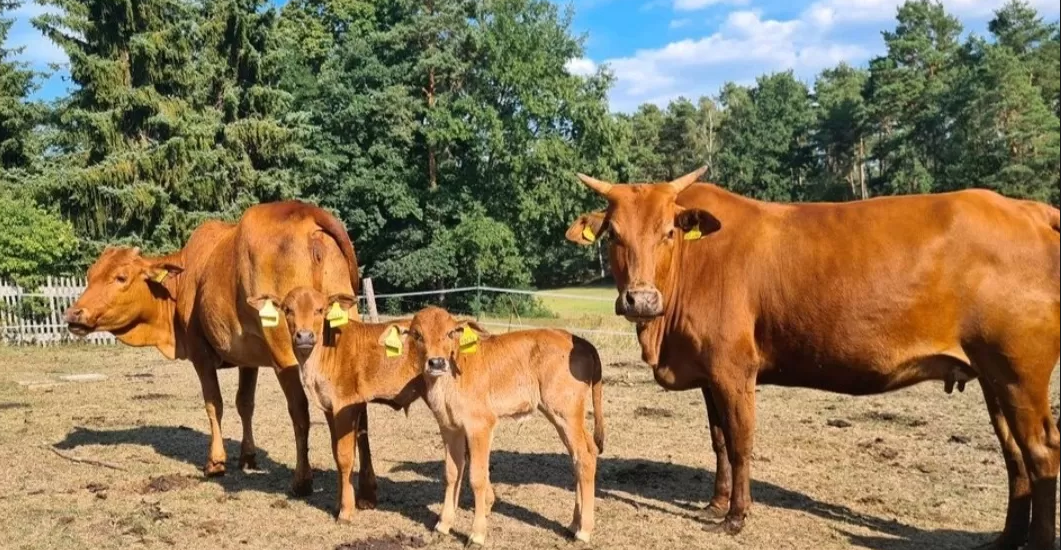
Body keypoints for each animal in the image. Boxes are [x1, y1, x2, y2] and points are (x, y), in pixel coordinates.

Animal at [63, 200, 378, 504]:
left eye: (121, 277)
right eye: (90, 275)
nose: (74, 313)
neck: (183, 278)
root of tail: (306, 212)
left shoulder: (201, 354)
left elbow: (214, 404)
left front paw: (215, 462)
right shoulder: (248, 357)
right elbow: (244, 403)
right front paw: (248, 456)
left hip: (286, 349)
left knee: (299, 410)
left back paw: (302, 481)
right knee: (358, 407)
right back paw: (367, 489)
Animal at [246, 286, 422, 522]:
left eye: (320, 310)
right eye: (287, 309)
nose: (304, 335)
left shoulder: (346, 405)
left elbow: (345, 456)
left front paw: (346, 511)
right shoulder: (330, 408)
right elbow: (336, 453)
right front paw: (339, 504)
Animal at [386, 306, 605, 546]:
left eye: (450, 332)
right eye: (417, 334)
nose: (436, 363)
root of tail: (579, 340)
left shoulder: (480, 425)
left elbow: (477, 477)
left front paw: (477, 535)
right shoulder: (449, 427)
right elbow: (452, 472)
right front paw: (443, 525)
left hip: (565, 412)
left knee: (584, 457)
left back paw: (584, 531)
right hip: (563, 416)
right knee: (584, 453)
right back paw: (574, 524)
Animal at [564, 167, 1060, 550]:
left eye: (668, 232)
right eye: (613, 235)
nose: (641, 300)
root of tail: (1027, 209)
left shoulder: (734, 370)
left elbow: (740, 442)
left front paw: (736, 516)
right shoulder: (709, 374)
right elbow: (719, 440)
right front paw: (715, 503)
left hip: (1021, 371)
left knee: (1040, 452)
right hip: (993, 376)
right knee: (1014, 454)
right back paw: (1004, 540)